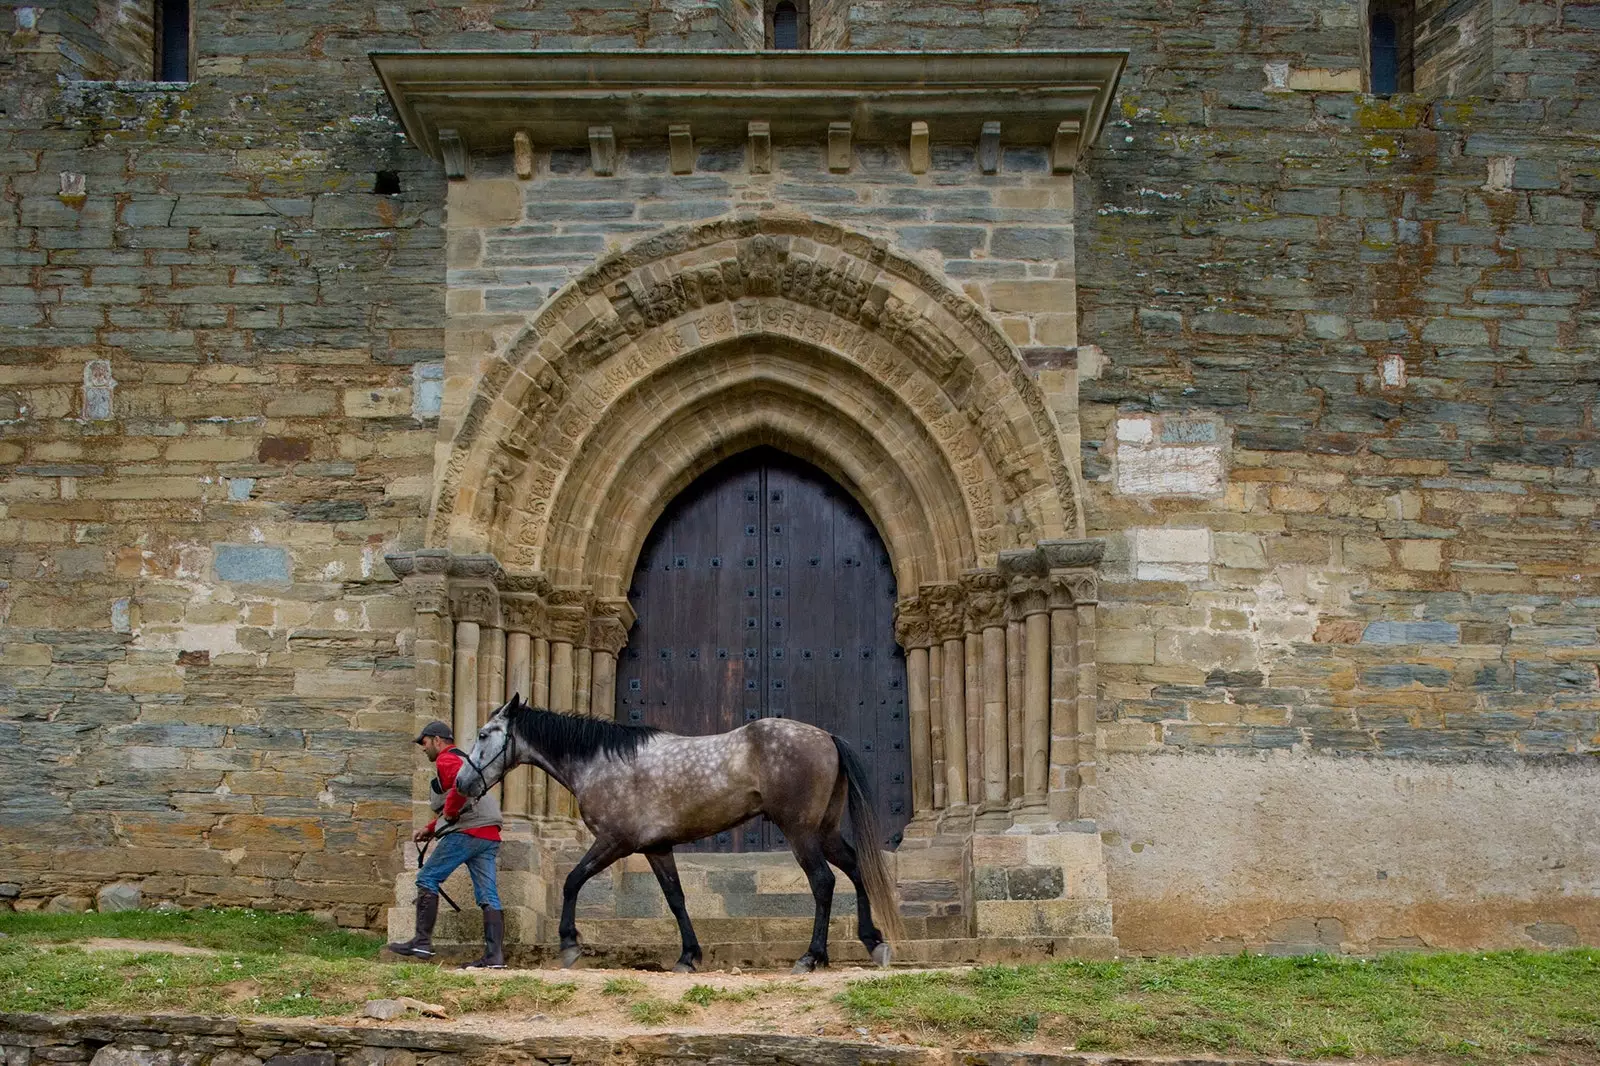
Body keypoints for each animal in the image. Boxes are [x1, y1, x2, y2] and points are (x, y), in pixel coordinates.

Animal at [451, 694, 902, 966]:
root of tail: (826, 736)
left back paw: (812, 956)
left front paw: (569, 944)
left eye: (484, 734)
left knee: (824, 882)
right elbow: (676, 899)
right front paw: (689, 955)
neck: (602, 762)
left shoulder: (614, 842)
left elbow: (572, 880)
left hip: (801, 834)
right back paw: (873, 941)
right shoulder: (656, 848)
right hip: (823, 832)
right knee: (856, 870)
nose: (461, 783)